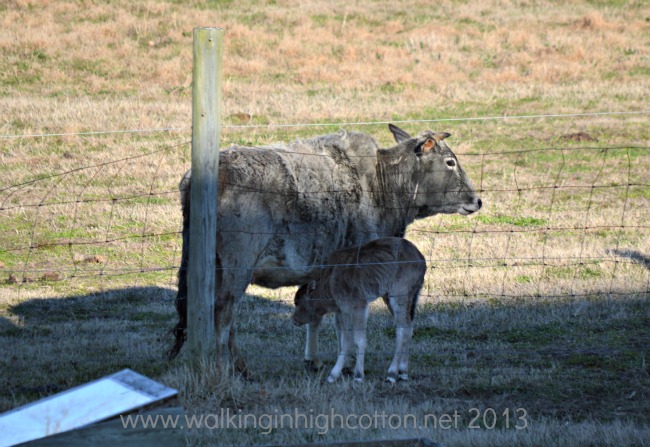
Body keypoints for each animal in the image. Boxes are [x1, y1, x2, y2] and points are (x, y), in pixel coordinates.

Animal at [292, 237, 426, 383]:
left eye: (297, 302)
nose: (294, 319)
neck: (330, 282)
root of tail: (421, 259)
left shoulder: (358, 306)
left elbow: (359, 341)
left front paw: (358, 375)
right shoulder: (343, 311)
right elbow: (345, 342)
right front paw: (334, 374)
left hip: (399, 295)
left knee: (402, 331)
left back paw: (391, 374)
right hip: (401, 297)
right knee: (408, 327)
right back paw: (403, 372)